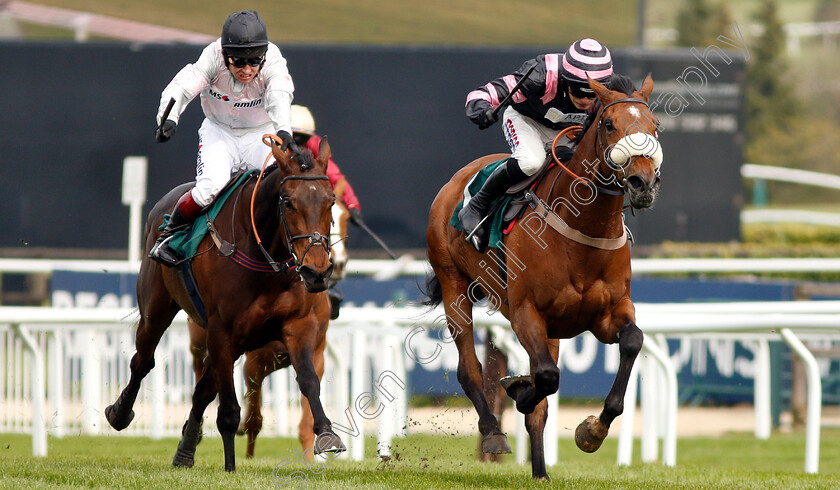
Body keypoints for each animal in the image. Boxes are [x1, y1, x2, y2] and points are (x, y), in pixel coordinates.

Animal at [185, 197, 350, 458]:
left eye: (345, 218)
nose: (339, 263)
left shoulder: (315, 353)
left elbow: (307, 403)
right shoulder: (255, 362)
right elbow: (254, 418)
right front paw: (247, 454)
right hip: (200, 336)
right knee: (199, 363)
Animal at [426, 76, 664, 478]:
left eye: (655, 126)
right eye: (609, 124)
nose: (642, 181)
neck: (583, 230)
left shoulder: (607, 313)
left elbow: (632, 342)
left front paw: (592, 431)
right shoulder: (525, 313)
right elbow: (547, 379)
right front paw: (518, 391)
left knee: (539, 400)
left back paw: (541, 473)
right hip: (453, 285)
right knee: (469, 369)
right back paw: (493, 432)